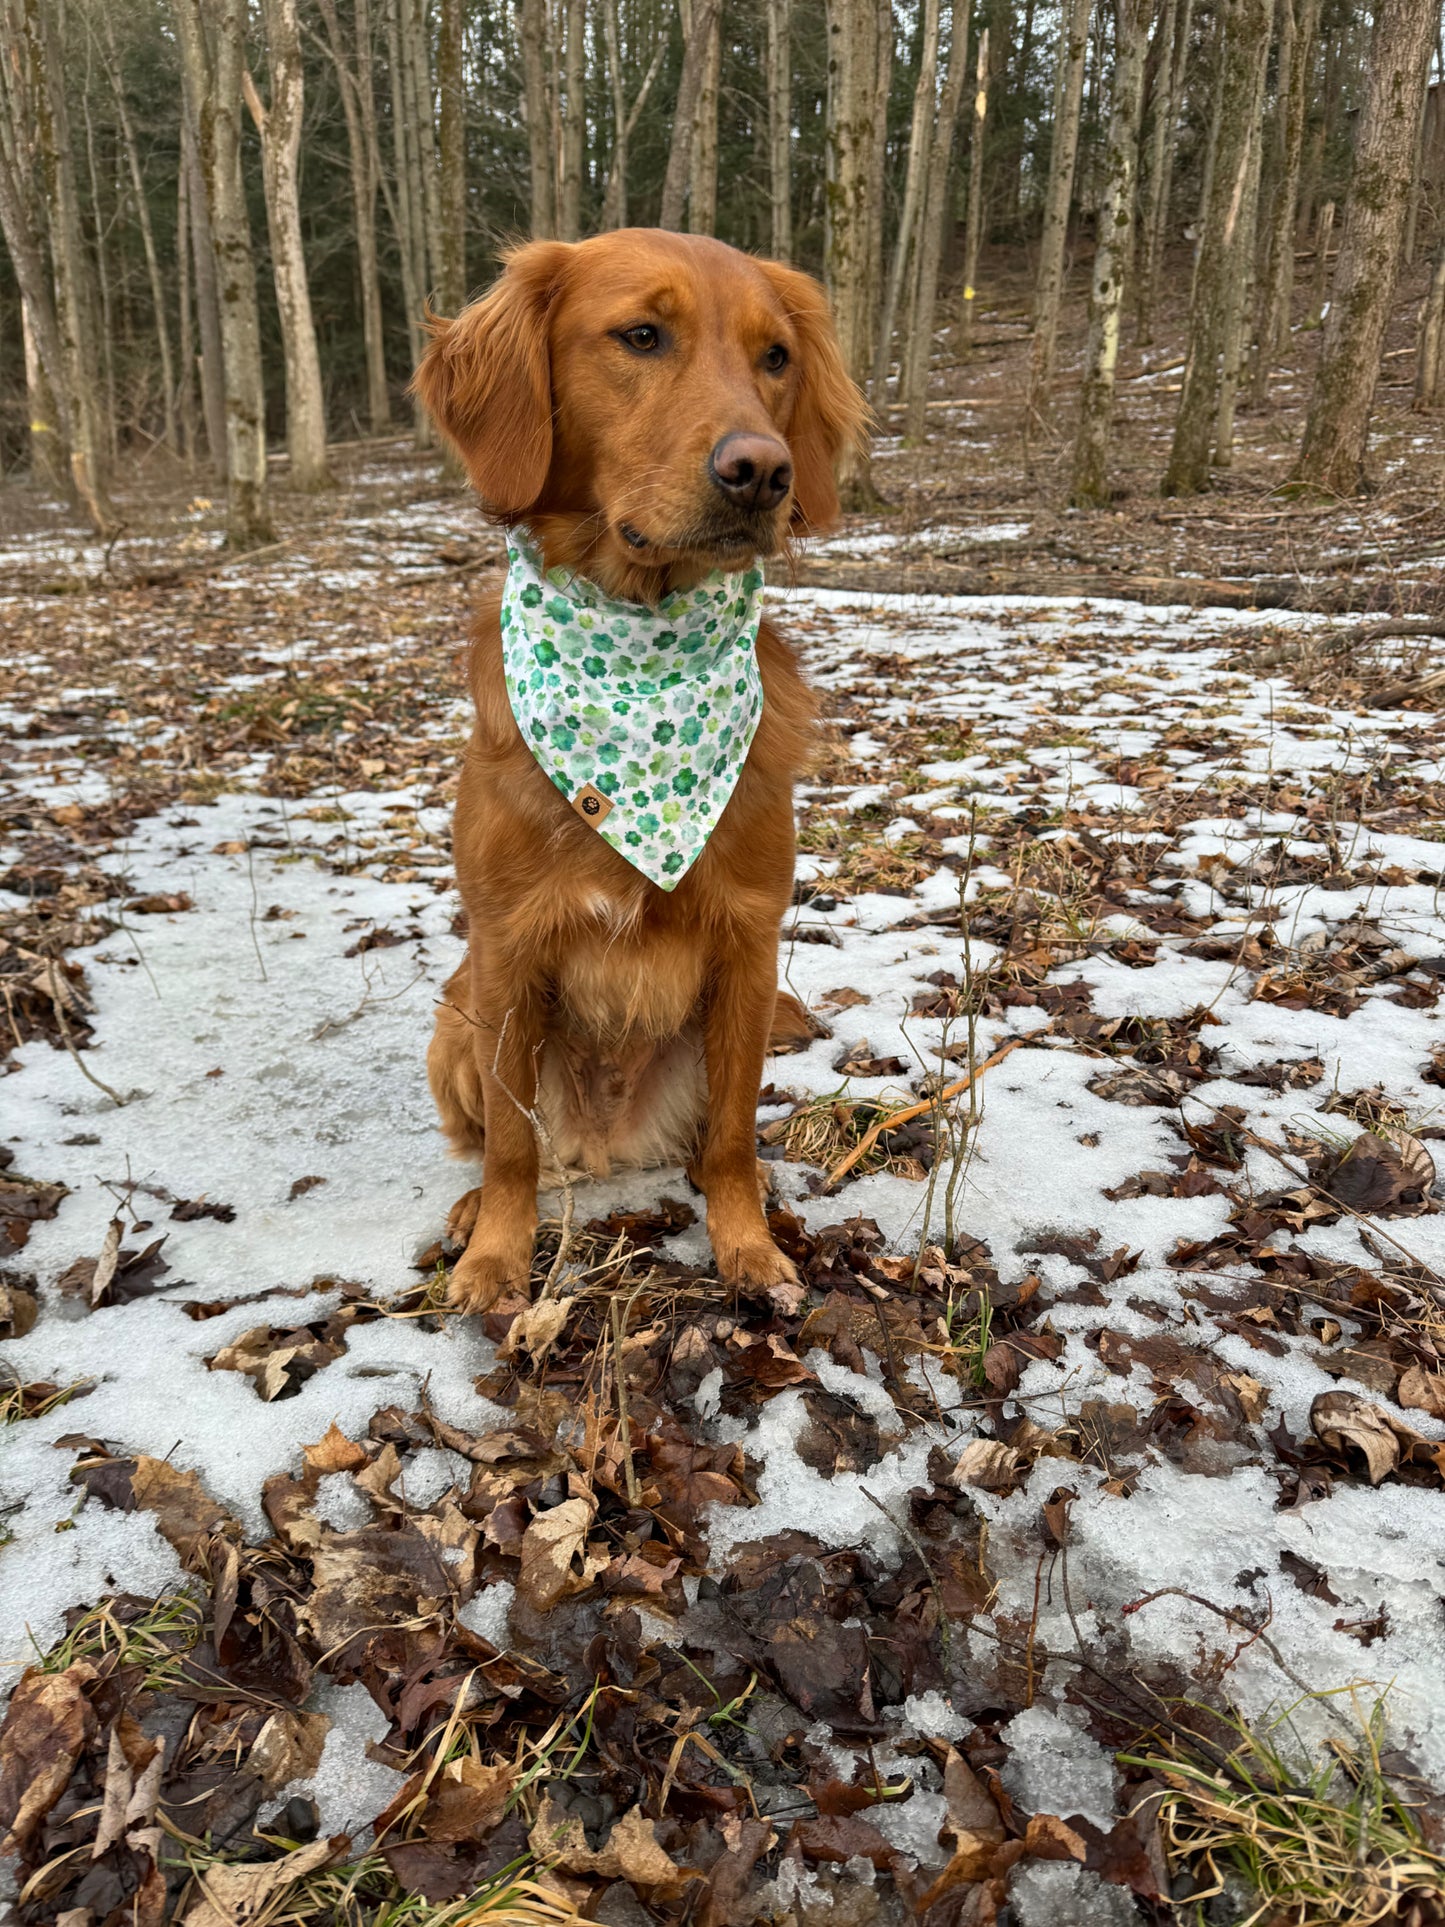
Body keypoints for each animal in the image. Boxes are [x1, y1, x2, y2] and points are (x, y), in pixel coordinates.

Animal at [418, 225, 867, 1310]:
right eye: (641, 336)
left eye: (775, 356)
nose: (763, 472)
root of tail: (605, 1145)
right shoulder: (505, 949)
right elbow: (508, 1148)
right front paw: (495, 1255)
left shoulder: (749, 946)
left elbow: (734, 1141)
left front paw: (748, 1248)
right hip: (454, 1017)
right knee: (509, 1145)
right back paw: (472, 1211)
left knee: (699, 1143)